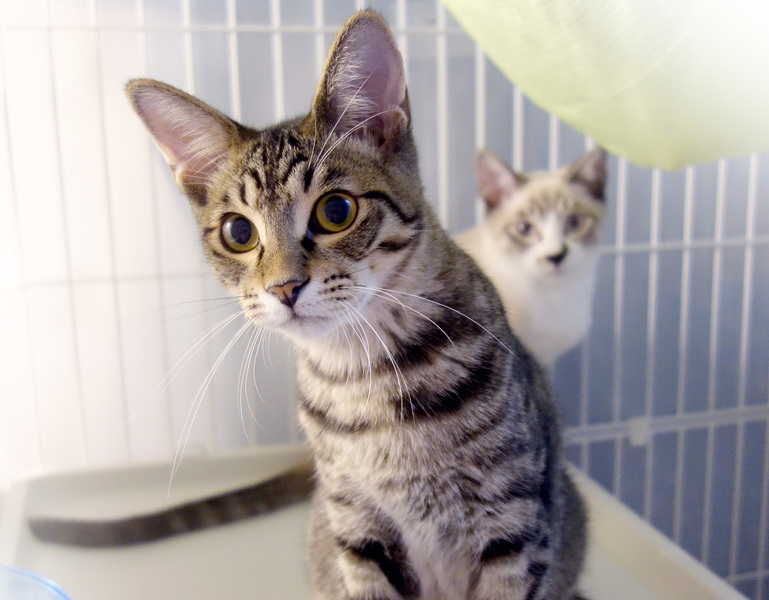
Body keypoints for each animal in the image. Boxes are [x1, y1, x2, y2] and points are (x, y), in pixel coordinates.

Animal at [29, 11, 587, 600]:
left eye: (336, 211)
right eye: (238, 232)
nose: (283, 288)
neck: (365, 378)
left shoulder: (513, 525)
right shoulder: (358, 528)